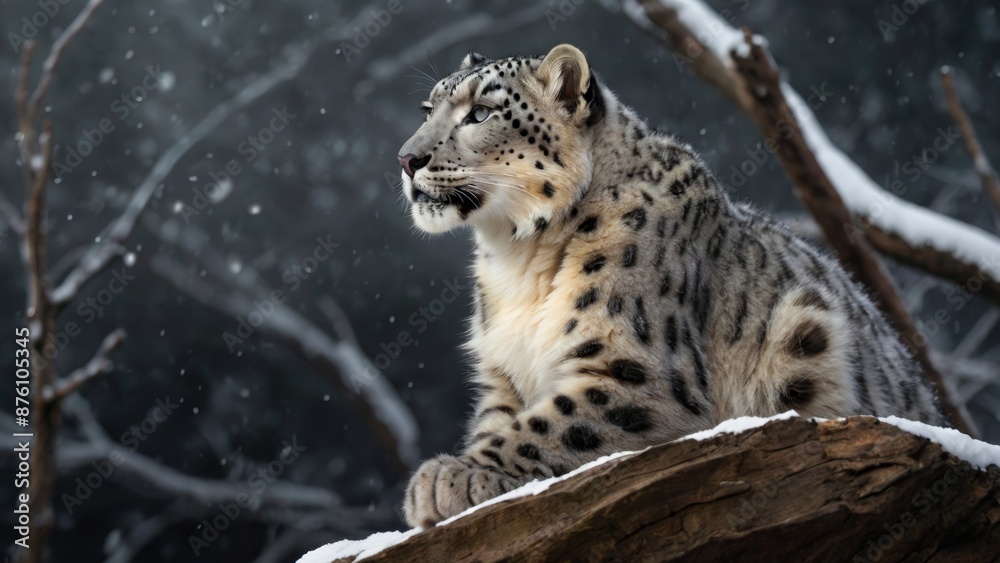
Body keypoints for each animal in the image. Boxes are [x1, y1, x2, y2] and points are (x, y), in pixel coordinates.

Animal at [394, 44, 947, 528]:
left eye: (481, 113)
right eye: (428, 108)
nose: (406, 159)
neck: (518, 262)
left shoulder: (638, 370)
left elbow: (546, 425)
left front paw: (451, 476)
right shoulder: (503, 375)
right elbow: (501, 421)